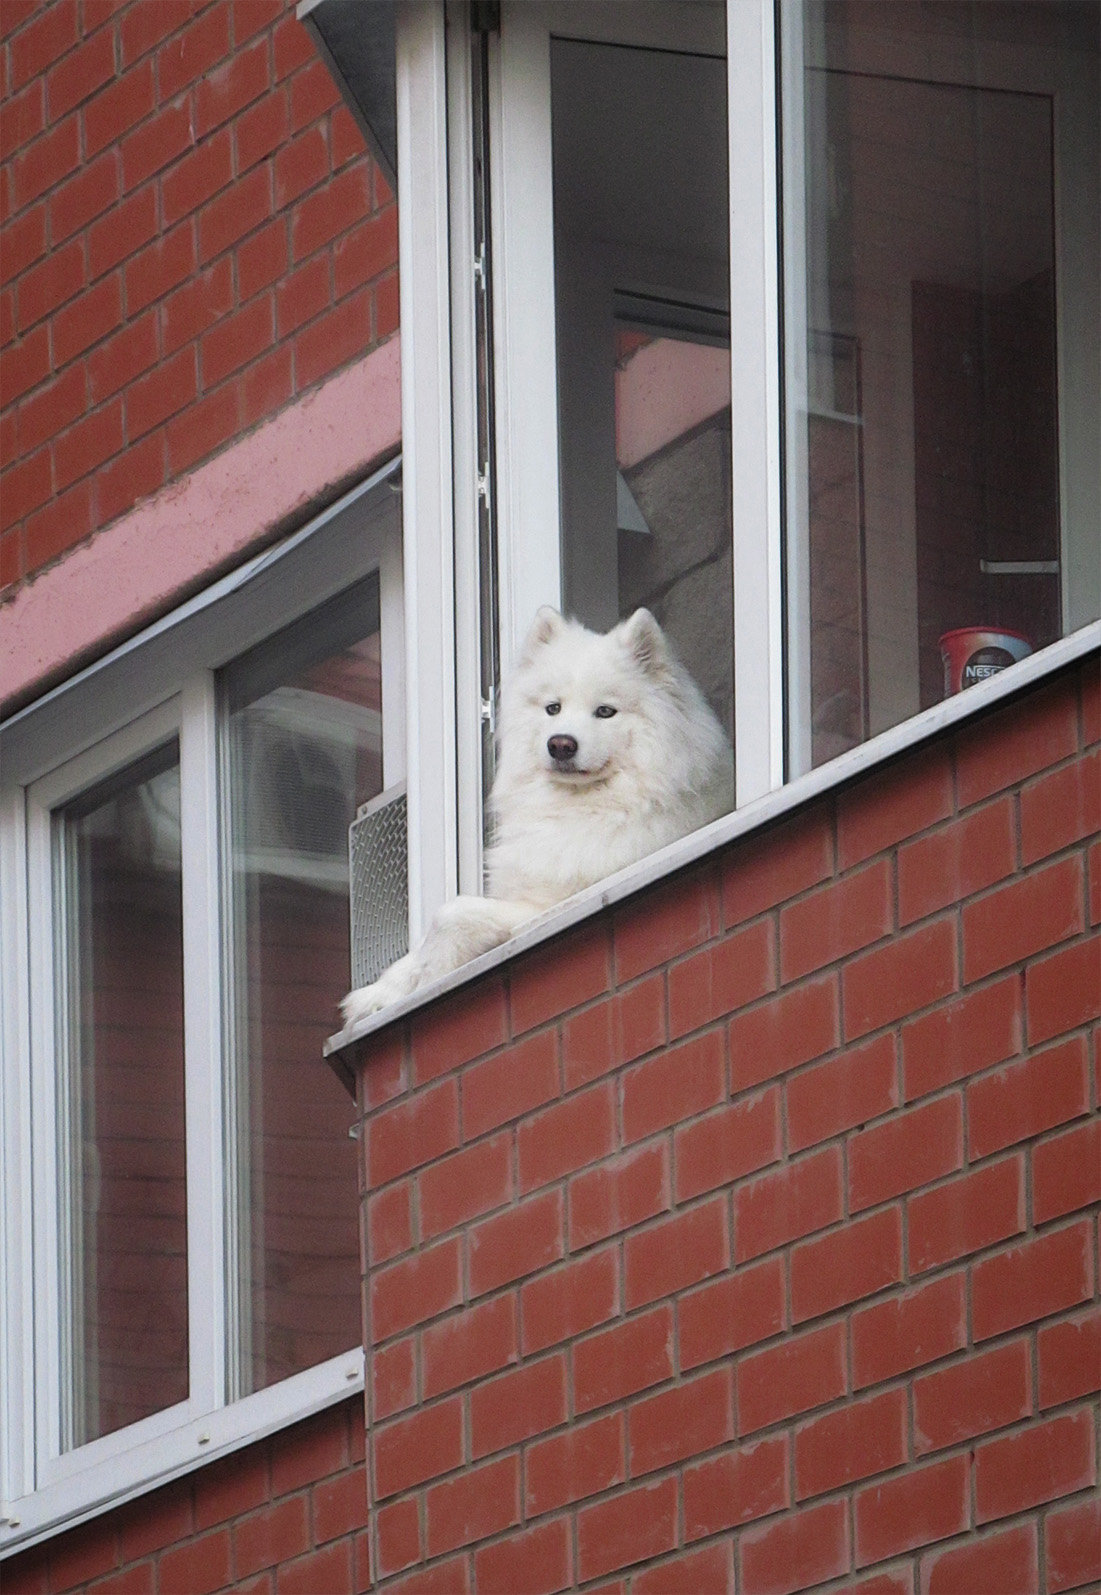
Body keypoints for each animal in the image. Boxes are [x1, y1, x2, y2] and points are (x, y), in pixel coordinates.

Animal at [341, 602, 727, 1027]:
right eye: (553, 708)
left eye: (605, 711)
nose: (561, 744)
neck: (575, 807)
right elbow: (421, 945)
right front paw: (378, 994)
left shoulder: (546, 906)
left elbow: (451, 913)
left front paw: (428, 981)